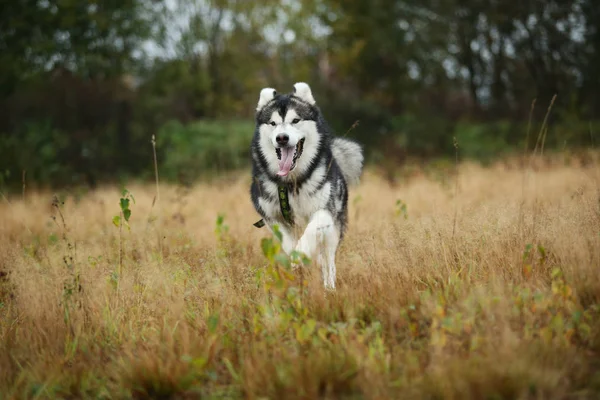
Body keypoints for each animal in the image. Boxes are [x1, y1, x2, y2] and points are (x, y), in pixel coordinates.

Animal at [247, 81, 360, 290]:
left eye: (295, 120)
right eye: (273, 123)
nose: (281, 138)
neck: (291, 183)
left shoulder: (325, 210)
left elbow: (310, 233)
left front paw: (301, 254)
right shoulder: (271, 216)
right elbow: (286, 241)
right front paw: (294, 258)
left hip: (334, 228)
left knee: (328, 259)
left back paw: (329, 286)